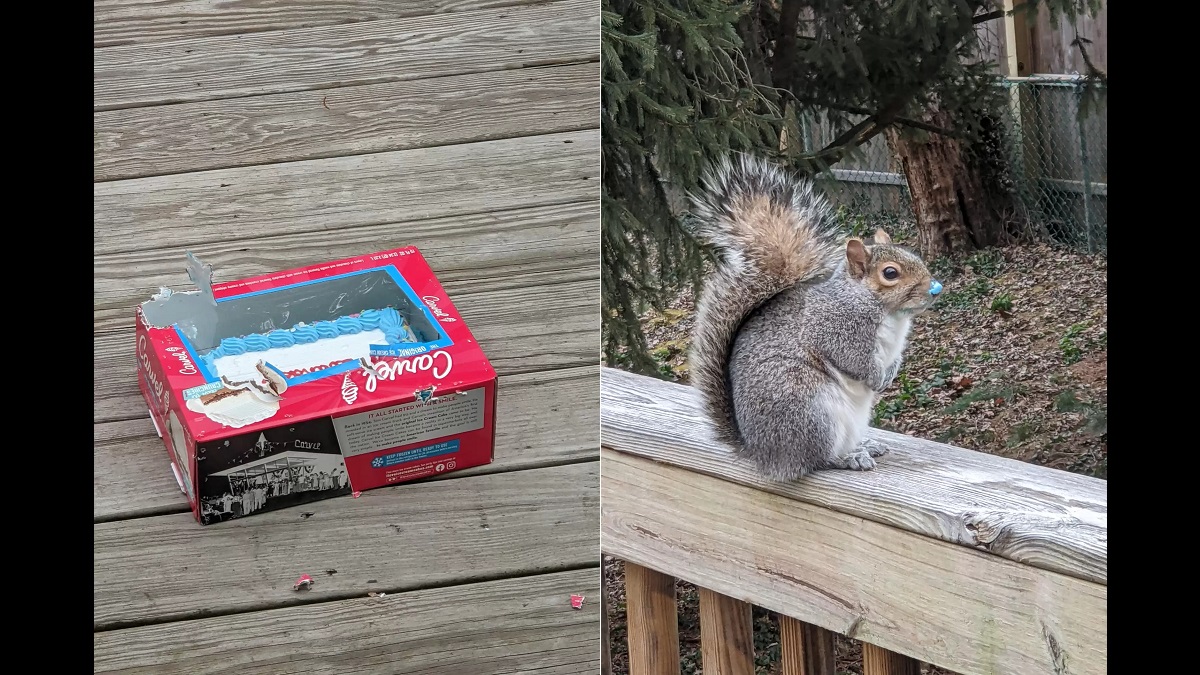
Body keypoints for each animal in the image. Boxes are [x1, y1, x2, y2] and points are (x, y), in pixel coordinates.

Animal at [691, 152, 940, 478]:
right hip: (810, 412)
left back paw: (865, 445)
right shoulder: (836, 329)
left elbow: (893, 358)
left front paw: (890, 373)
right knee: (815, 459)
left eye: (914, 255)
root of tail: (761, 452)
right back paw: (847, 458)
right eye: (890, 273)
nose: (934, 289)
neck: (891, 315)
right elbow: (854, 360)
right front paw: (876, 378)